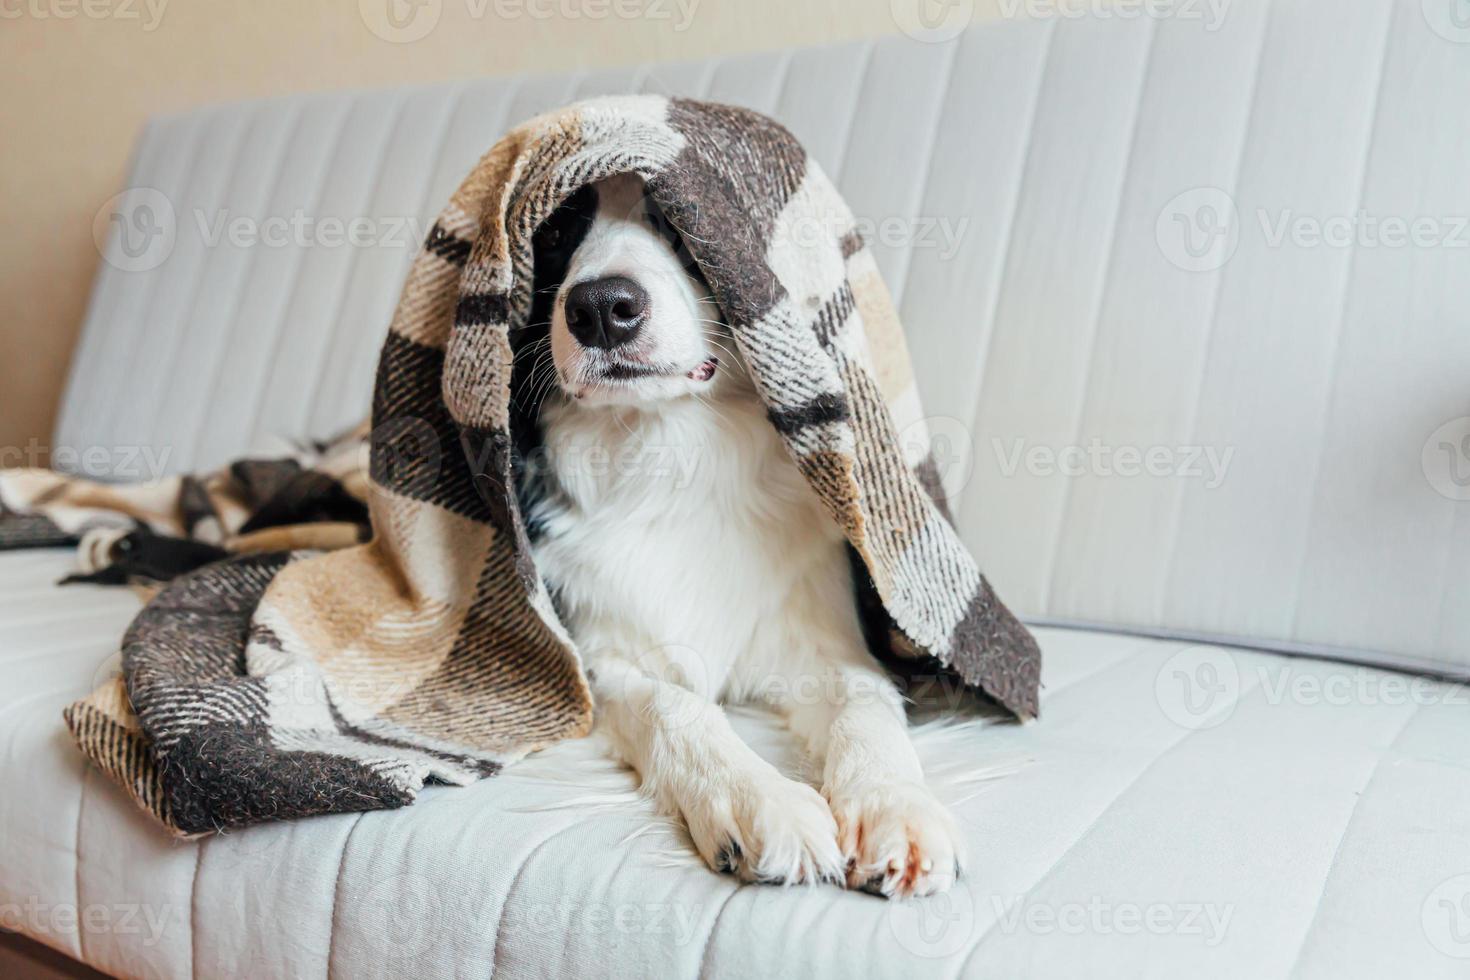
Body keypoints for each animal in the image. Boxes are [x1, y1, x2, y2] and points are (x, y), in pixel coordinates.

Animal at [517, 174, 964, 899]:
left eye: (679, 223)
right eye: (555, 231)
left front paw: (895, 807)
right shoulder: (595, 658)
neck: (670, 458)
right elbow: (673, 703)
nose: (601, 308)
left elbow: (868, 702)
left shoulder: (821, 638)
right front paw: (763, 802)